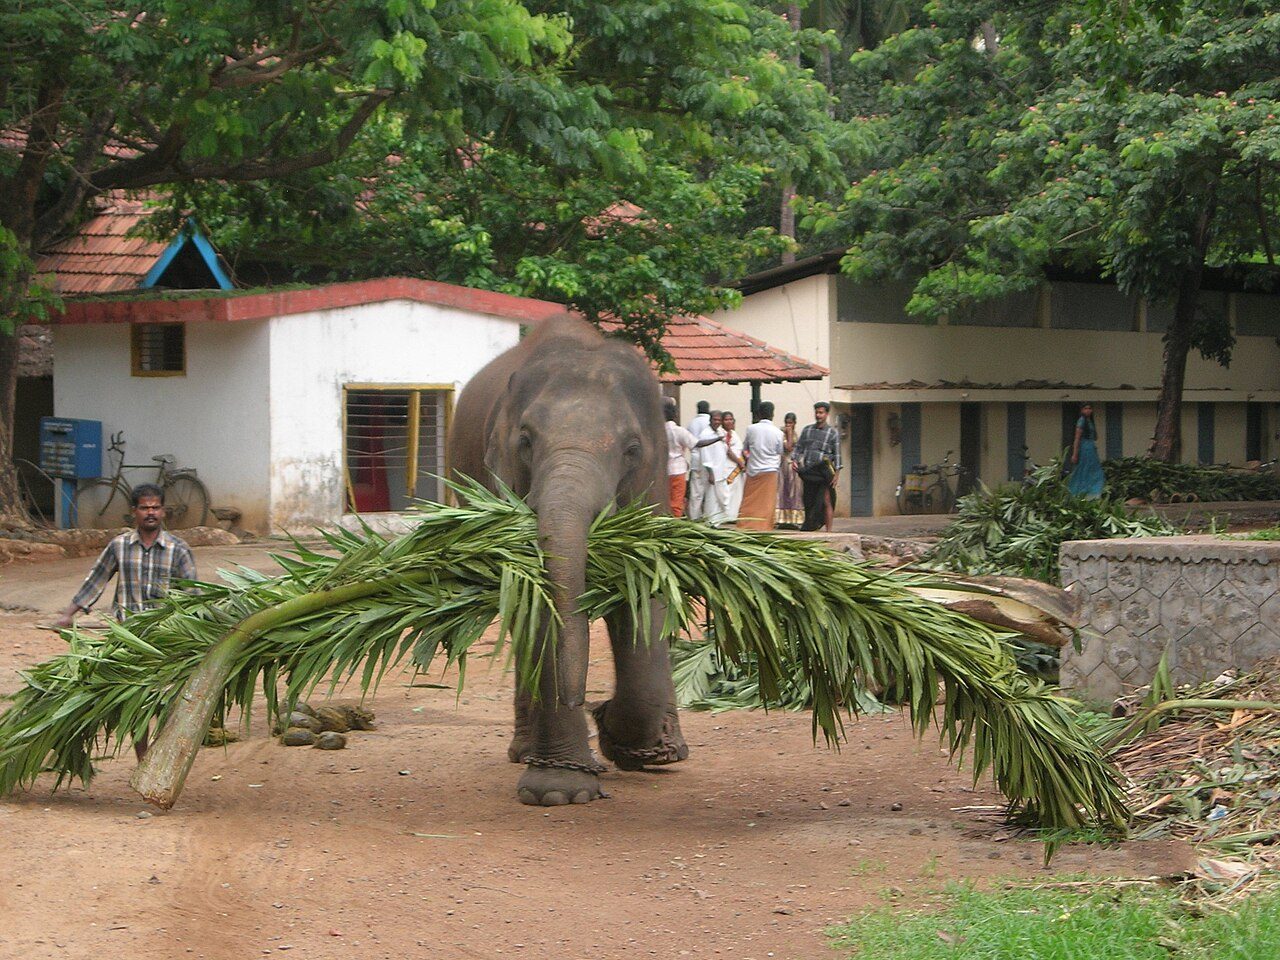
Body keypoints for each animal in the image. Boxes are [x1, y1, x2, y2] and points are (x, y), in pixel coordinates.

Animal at [448, 314, 689, 805]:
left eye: (632, 448)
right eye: (525, 441)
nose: (587, 702)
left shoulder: (652, 484)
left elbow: (644, 588)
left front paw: (627, 744)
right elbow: (540, 603)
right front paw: (560, 793)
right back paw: (527, 752)